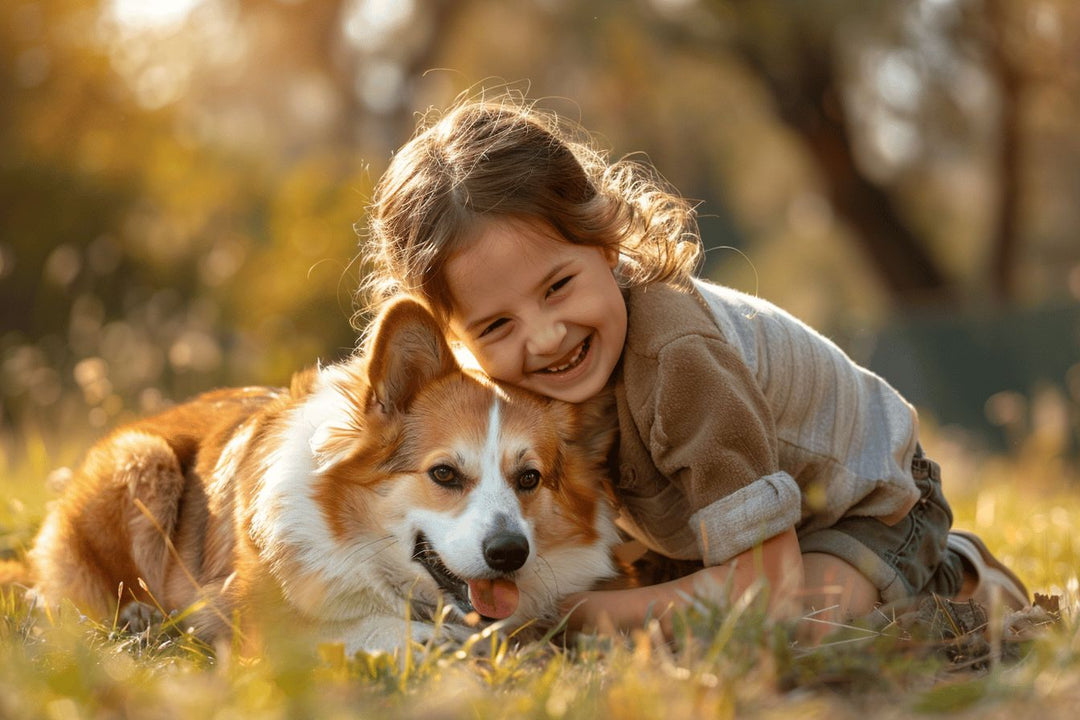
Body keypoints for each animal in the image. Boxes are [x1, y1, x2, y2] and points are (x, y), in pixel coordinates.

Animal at [27, 295, 626, 656]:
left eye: (529, 479)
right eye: (444, 473)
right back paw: (136, 617)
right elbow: (367, 630)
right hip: (143, 457)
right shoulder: (255, 618)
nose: (509, 554)